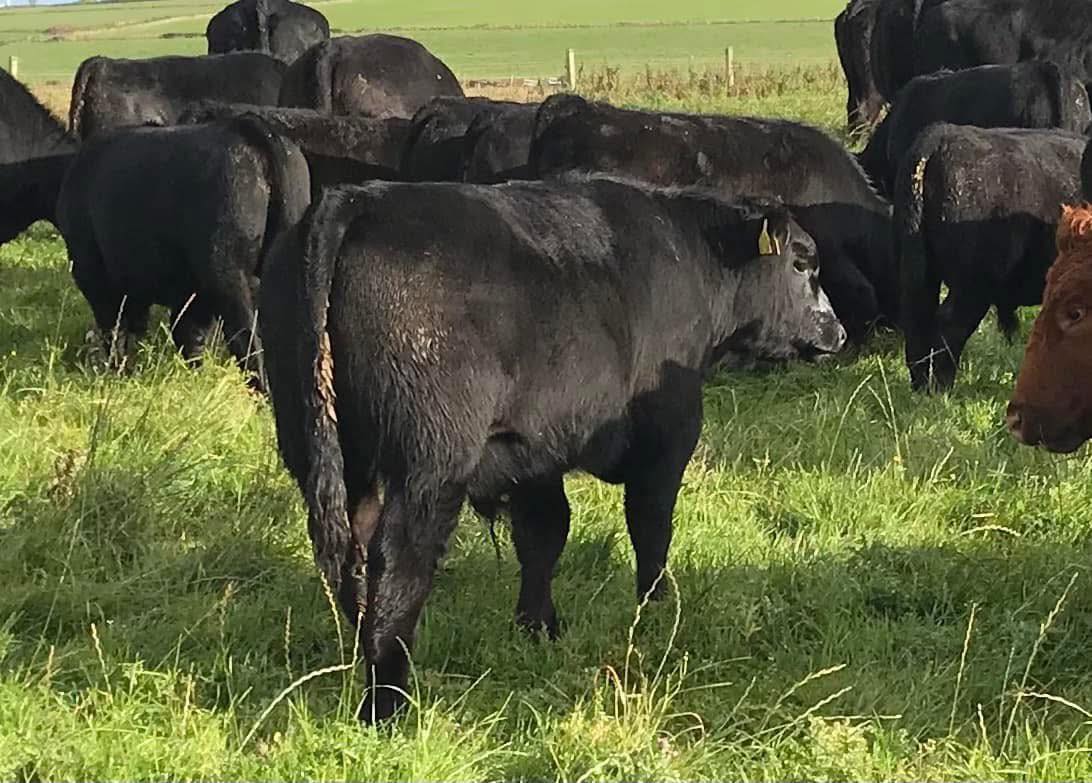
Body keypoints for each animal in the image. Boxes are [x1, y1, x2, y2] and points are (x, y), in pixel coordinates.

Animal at [55, 117, 310, 388]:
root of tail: (252, 131)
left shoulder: (93, 275)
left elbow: (116, 331)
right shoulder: (186, 292)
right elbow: (187, 337)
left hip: (229, 277)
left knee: (249, 344)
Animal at [260, 177, 847, 722]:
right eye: (802, 264)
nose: (838, 332)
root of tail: (357, 199)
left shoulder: (530, 452)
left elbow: (543, 534)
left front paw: (538, 626)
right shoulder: (669, 433)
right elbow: (651, 525)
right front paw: (656, 610)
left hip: (326, 451)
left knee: (355, 553)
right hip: (429, 462)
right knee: (400, 559)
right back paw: (387, 702)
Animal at [896, 123, 1084, 392]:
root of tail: (943, 134)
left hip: (919, 273)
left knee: (917, 322)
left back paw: (921, 387)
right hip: (974, 286)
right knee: (949, 325)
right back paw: (943, 389)